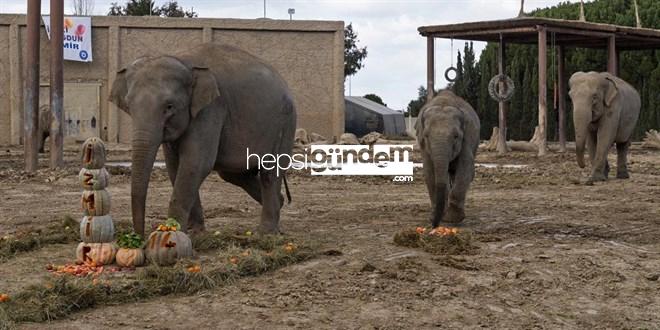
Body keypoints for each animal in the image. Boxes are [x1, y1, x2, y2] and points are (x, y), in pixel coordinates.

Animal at [111, 42, 296, 236]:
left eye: (169, 106)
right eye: (128, 105)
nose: (138, 237)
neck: (183, 61)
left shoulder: (210, 109)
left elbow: (195, 163)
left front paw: (173, 232)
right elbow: (175, 166)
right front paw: (194, 231)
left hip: (285, 123)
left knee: (270, 172)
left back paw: (266, 232)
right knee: (233, 174)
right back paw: (280, 203)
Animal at [416, 89, 482, 227]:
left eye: (456, 136)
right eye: (426, 136)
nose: (434, 225)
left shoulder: (467, 138)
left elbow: (465, 168)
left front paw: (452, 219)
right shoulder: (423, 146)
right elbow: (429, 172)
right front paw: (437, 216)